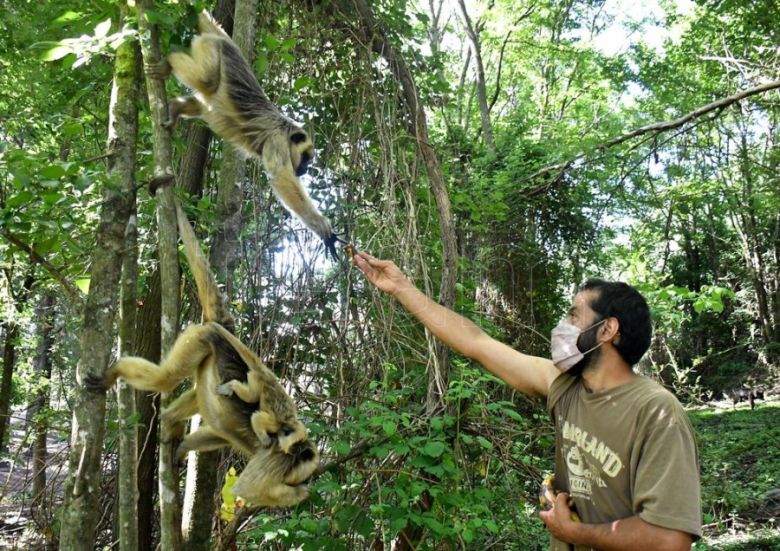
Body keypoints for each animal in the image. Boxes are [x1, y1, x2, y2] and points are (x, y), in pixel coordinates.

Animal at [149, 9, 342, 258]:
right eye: (306, 157)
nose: (307, 169)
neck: (286, 129)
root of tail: (231, 46)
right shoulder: (277, 141)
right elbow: (282, 178)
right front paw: (323, 228)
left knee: (205, 100)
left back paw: (175, 108)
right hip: (212, 48)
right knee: (207, 80)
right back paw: (169, 61)